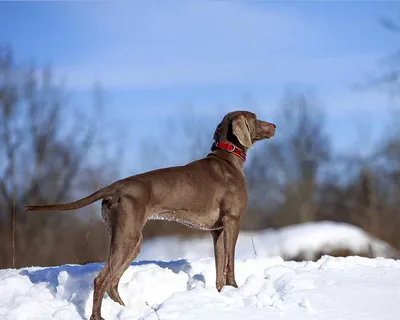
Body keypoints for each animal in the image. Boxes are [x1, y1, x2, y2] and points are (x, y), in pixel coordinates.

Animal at [24, 110, 276, 320]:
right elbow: (230, 264)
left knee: (112, 283)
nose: (274, 125)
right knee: (101, 280)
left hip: (131, 240)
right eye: (255, 117)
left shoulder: (217, 230)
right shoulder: (233, 221)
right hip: (128, 238)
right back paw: (99, 317)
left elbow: (219, 267)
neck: (228, 159)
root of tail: (116, 187)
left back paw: (125, 311)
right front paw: (235, 290)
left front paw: (221, 294)